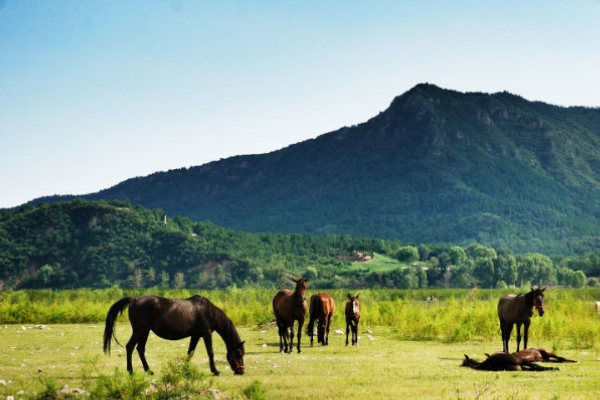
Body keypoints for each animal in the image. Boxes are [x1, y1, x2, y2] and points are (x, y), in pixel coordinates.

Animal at [104, 294, 245, 376]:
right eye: (238, 354)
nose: (241, 371)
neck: (208, 312)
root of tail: (134, 300)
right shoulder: (206, 333)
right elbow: (210, 352)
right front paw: (215, 371)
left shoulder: (196, 335)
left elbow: (190, 352)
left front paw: (184, 370)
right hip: (140, 330)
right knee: (130, 347)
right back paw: (131, 371)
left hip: (145, 332)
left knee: (140, 349)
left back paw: (149, 370)